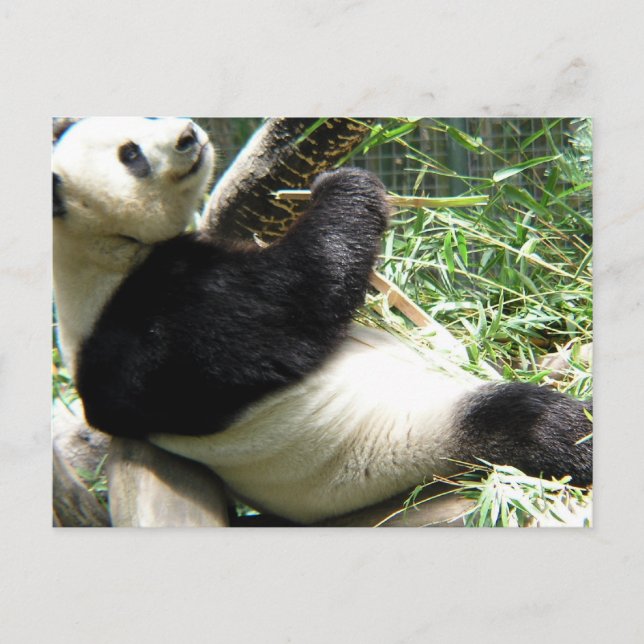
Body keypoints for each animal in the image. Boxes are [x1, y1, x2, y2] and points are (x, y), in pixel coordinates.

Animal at [52, 117, 592, 525]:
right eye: (130, 155)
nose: (187, 135)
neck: (99, 247)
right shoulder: (150, 319)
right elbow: (293, 300)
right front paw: (344, 185)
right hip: (422, 437)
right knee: (533, 424)